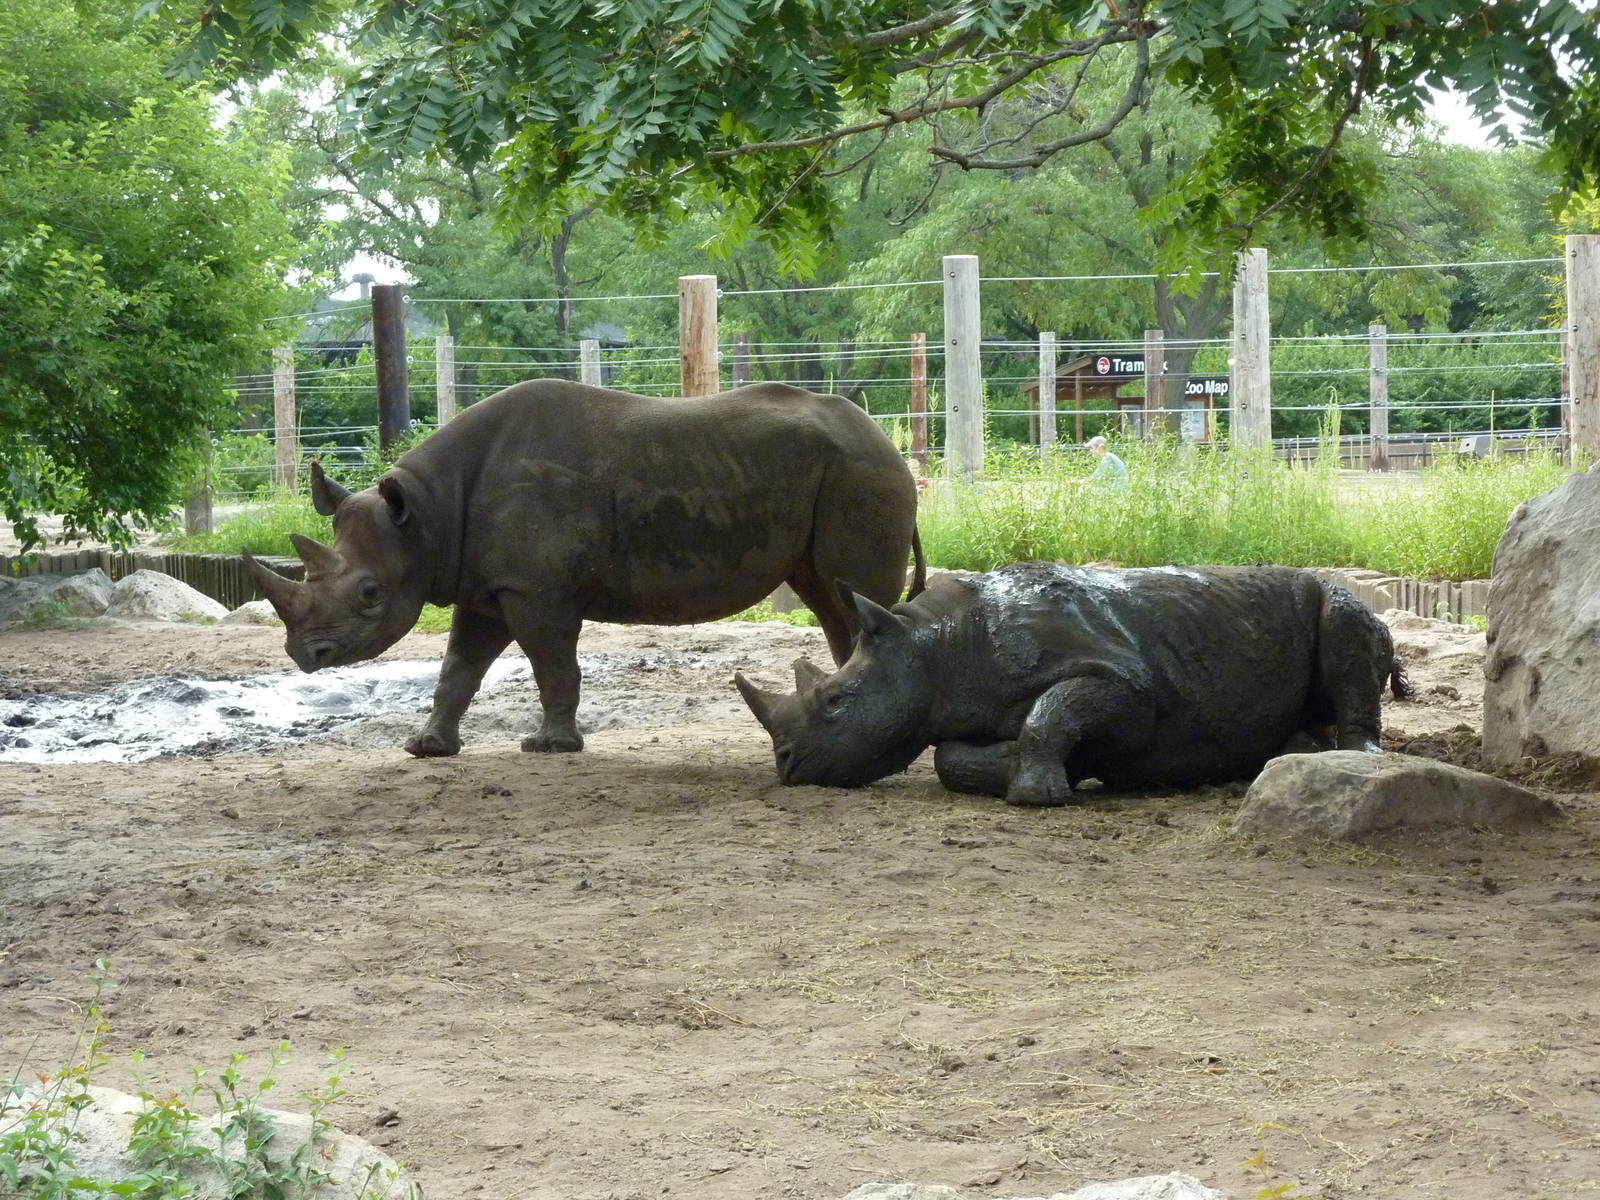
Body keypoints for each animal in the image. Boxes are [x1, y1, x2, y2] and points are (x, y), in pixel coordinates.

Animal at [246, 379, 924, 756]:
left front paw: (550, 747)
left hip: (862, 473)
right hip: (843, 472)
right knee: (830, 599)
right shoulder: (485, 586)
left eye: (369, 593)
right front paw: (427, 748)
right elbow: (458, 668)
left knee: (849, 597)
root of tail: (890, 443)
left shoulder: (535, 590)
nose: (304, 655)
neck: (429, 516)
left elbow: (551, 664)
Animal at [735, 562, 1411, 806]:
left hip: (1340, 598)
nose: (787, 766)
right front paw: (1025, 766)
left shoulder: (1129, 685)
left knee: (1344, 621)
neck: (939, 649)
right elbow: (951, 757)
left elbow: (1053, 713)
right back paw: (1293, 749)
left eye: (835, 702)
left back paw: (1351, 755)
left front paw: (1038, 794)